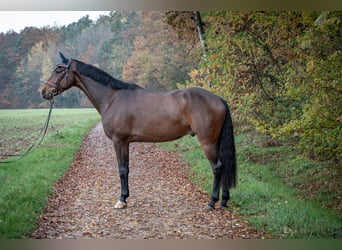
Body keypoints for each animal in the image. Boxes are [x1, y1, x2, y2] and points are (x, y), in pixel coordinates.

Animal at [41, 52, 236, 209]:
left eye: (59, 70)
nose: (44, 92)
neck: (112, 98)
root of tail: (219, 99)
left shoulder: (118, 141)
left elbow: (121, 169)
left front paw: (121, 200)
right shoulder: (125, 142)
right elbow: (126, 169)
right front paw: (125, 197)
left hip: (207, 142)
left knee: (217, 168)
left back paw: (211, 202)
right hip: (215, 141)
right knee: (224, 166)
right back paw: (224, 201)